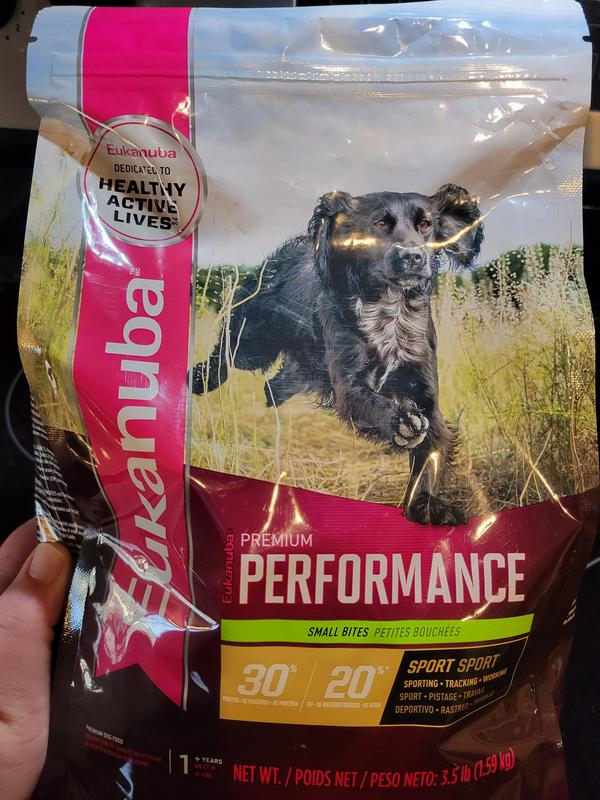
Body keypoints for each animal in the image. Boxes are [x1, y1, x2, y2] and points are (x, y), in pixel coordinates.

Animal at [192, 184, 483, 525]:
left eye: (425, 224)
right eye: (380, 224)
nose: (413, 256)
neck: (390, 315)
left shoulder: (426, 393)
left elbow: (433, 446)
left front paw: (427, 505)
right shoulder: (349, 386)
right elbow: (374, 402)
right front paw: (401, 421)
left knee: (279, 379)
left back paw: (270, 396)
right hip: (252, 343)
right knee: (225, 355)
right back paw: (199, 379)